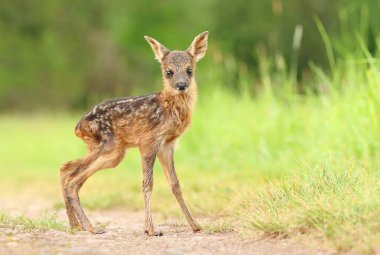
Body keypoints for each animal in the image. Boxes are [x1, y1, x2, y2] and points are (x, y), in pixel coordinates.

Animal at [60, 30, 208, 236]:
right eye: (168, 72)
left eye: (190, 70)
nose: (181, 85)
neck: (170, 107)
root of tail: (78, 127)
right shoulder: (148, 140)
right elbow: (148, 183)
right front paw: (151, 229)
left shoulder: (167, 144)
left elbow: (175, 184)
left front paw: (195, 225)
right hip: (109, 145)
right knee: (73, 177)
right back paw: (91, 227)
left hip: (111, 153)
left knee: (66, 168)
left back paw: (75, 225)